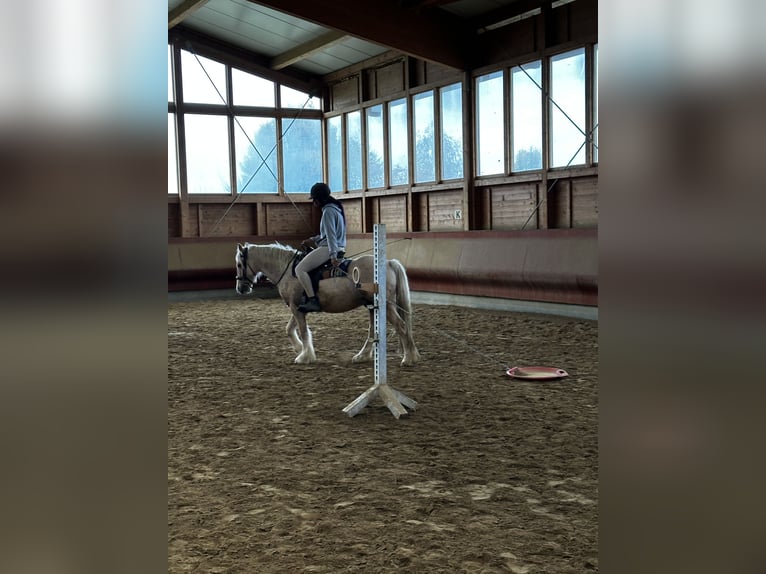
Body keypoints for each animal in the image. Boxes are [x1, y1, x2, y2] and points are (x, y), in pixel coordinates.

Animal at [237, 243, 424, 368]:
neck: (288, 270)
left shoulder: (296, 308)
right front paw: (299, 349)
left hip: (385, 306)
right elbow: (289, 329)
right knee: (373, 331)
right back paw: (362, 356)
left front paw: (305, 356)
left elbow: (303, 331)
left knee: (401, 325)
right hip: (372, 306)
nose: (241, 288)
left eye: (239, 264)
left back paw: (408, 358)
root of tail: (388, 262)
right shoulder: (297, 307)